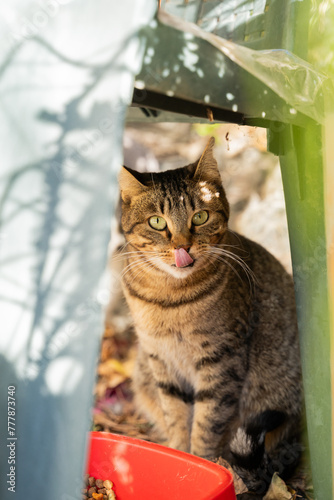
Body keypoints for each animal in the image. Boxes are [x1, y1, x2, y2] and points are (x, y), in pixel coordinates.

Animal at [118, 136, 302, 492]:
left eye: (200, 217)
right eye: (157, 222)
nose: (182, 246)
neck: (168, 299)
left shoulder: (221, 360)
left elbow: (207, 422)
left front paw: (200, 464)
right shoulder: (159, 359)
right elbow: (176, 415)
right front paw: (178, 456)